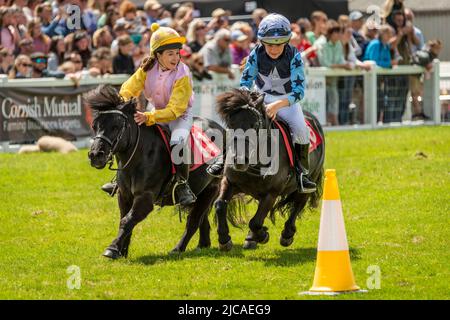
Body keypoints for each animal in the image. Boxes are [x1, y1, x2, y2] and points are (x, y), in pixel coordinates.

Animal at [85, 84, 225, 258]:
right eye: (95, 126)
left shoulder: (145, 198)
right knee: (201, 219)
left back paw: (177, 249)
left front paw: (112, 249)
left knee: (193, 221)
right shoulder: (124, 195)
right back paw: (202, 245)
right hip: (199, 192)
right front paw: (122, 251)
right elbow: (125, 219)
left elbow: (128, 220)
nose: (95, 155)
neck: (140, 156)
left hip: (211, 188)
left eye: (116, 126)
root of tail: (221, 128)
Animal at [214, 89, 324, 251]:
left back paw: (286, 234)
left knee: (298, 204)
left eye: (255, 125)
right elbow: (220, 205)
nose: (239, 160)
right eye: (230, 124)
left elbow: (255, 222)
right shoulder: (230, 182)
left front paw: (262, 235)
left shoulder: (271, 193)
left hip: (309, 183)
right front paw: (224, 239)